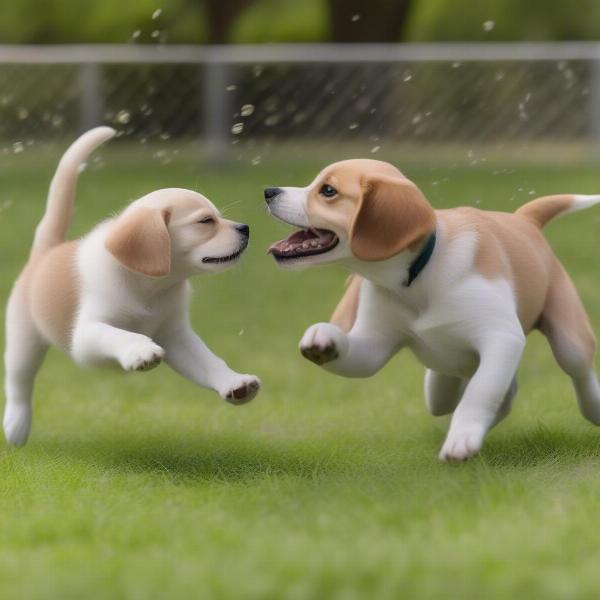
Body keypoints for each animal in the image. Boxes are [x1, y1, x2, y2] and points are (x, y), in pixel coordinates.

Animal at [2, 126, 260, 446]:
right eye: (205, 221)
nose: (246, 228)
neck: (148, 287)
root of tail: (46, 251)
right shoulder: (85, 336)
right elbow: (119, 334)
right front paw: (140, 351)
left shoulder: (176, 337)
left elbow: (209, 362)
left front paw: (235, 383)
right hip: (23, 339)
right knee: (19, 381)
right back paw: (16, 424)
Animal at [264, 158, 600, 460]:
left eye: (328, 191)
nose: (268, 191)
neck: (416, 276)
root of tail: (524, 220)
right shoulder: (374, 344)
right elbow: (354, 352)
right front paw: (322, 338)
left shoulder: (501, 337)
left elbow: (481, 391)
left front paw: (463, 437)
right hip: (446, 383)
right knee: (473, 390)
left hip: (568, 340)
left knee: (576, 373)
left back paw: (593, 407)